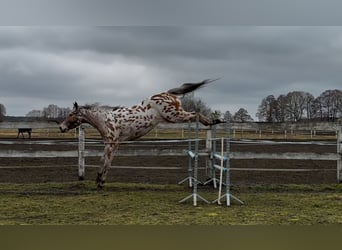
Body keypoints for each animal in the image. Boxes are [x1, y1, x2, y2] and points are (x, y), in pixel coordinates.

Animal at [59, 79, 223, 188]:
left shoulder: (112, 144)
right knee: (195, 114)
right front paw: (99, 180)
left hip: (174, 115)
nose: (61, 127)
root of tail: (167, 93)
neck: (105, 120)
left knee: (196, 113)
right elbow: (105, 161)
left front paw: (100, 182)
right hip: (174, 116)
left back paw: (214, 121)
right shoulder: (113, 144)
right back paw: (214, 121)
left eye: (71, 114)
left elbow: (105, 162)